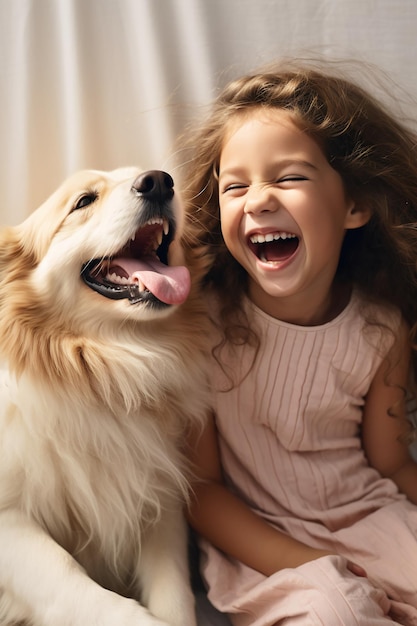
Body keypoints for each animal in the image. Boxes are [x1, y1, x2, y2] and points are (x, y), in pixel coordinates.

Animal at [0, 167, 208, 624]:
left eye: (154, 177)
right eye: (83, 201)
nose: (159, 181)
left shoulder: (158, 498)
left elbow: (176, 597)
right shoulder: (9, 522)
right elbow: (76, 583)